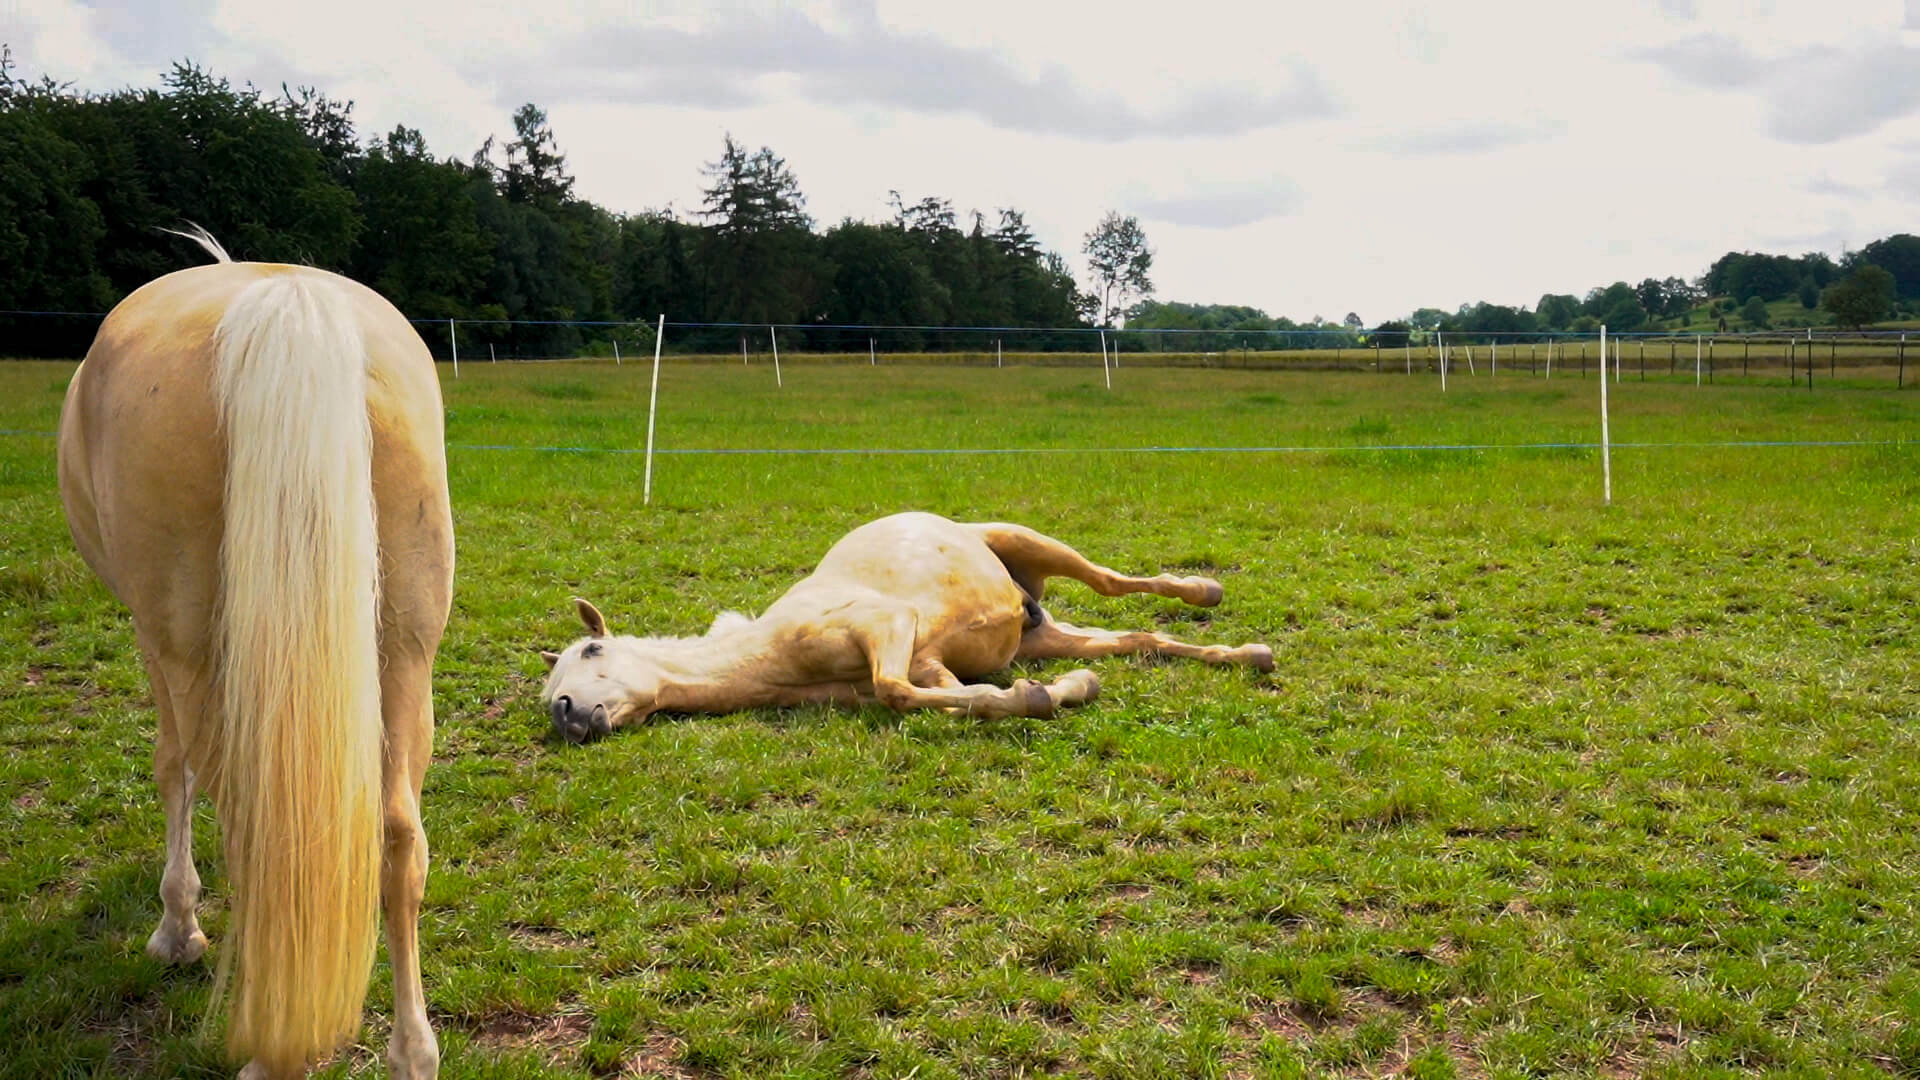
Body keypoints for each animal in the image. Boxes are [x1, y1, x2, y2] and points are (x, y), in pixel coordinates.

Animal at [57, 231, 454, 1079]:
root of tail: (285, 304)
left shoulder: (156, 641)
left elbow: (171, 768)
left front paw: (177, 927)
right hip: (407, 654)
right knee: (398, 837)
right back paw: (412, 1050)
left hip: (194, 651)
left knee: (254, 830)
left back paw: (270, 1049)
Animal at [540, 512, 1272, 741]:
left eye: (592, 647)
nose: (566, 713)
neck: (771, 653)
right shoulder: (928, 666)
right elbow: (956, 699)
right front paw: (1063, 690)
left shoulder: (888, 624)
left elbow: (896, 691)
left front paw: (1043, 696)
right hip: (1044, 634)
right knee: (1143, 641)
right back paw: (1247, 654)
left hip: (1031, 542)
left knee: (1116, 583)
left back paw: (1205, 591)